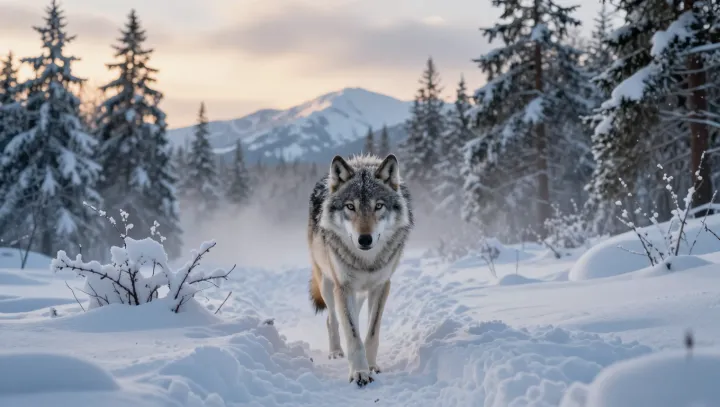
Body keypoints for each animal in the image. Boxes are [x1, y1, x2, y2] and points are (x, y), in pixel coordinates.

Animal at [307, 153, 414, 387]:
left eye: (378, 206)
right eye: (350, 206)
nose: (365, 239)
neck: (366, 261)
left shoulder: (381, 286)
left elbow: (371, 333)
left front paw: (371, 366)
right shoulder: (343, 287)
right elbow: (353, 335)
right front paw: (359, 373)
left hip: (361, 293)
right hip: (327, 284)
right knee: (332, 319)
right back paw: (336, 352)